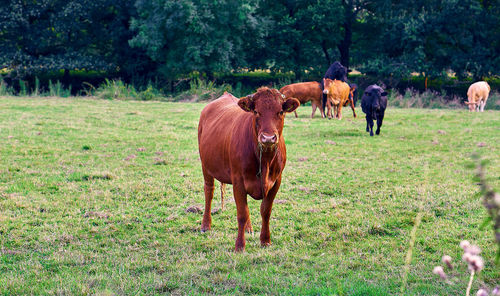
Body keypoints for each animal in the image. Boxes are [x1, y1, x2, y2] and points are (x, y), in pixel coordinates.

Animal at [197, 86, 298, 251]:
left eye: (280, 112)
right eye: (256, 111)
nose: (268, 138)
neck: (265, 161)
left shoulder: (276, 181)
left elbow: (265, 211)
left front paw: (265, 240)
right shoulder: (238, 181)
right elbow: (242, 213)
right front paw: (240, 246)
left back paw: (249, 228)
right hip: (206, 166)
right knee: (209, 192)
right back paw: (205, 225)